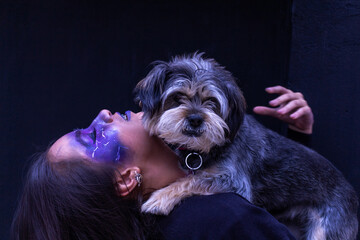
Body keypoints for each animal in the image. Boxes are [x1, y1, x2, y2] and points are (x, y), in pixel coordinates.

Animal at [134, 53, 358, 239]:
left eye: (212, 101)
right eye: (177, 97)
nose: (196, 119)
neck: (206, 148)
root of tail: (352, 193)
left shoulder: (235, 182)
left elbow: (194, 180)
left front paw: (160, 198)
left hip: (327, 231)